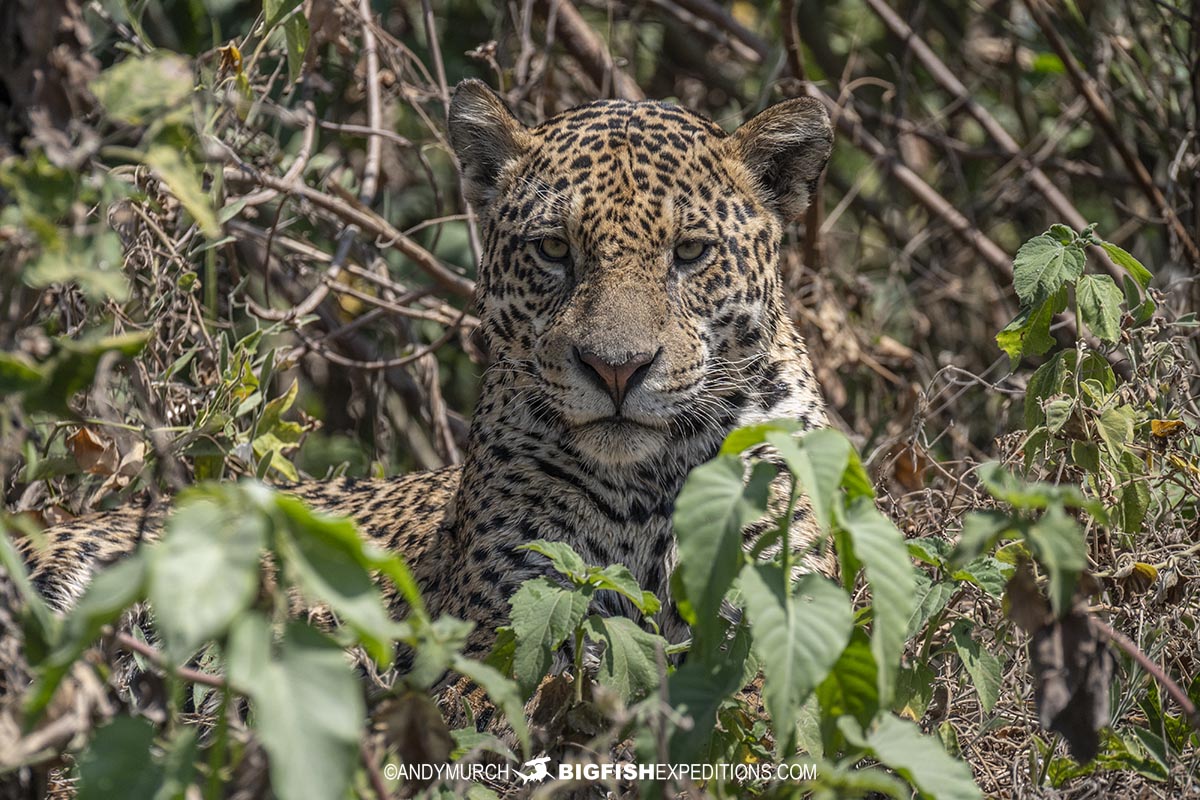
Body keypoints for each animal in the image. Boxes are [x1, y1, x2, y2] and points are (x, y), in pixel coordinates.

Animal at [14, 79, 834, 688]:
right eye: (553, 250)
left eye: (691, 253)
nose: (616, 369)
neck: (649, 489)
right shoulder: (504, 636)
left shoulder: (779, 604)